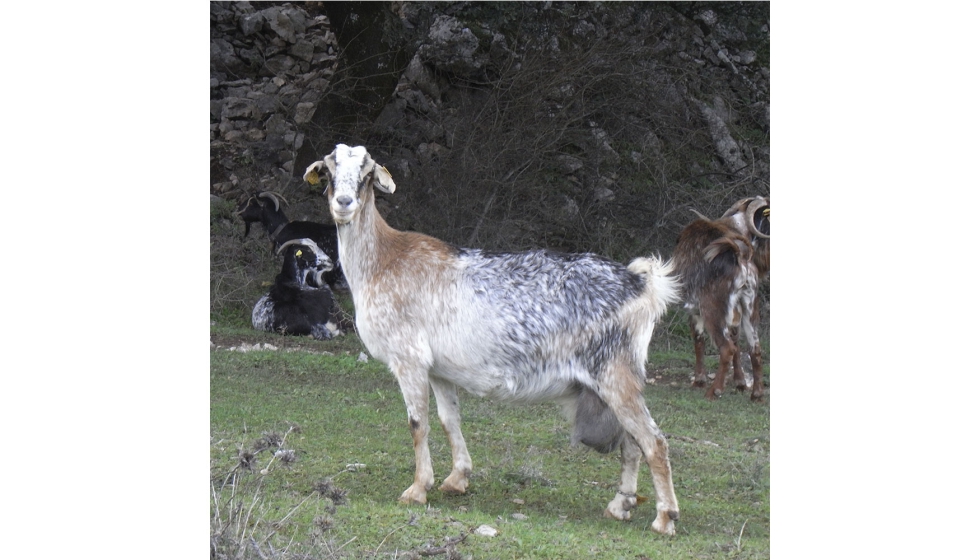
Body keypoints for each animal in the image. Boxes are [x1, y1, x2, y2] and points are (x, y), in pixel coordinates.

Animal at [302, 144, 682, 535]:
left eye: (366, 175)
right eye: (329, 172)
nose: (344, 203)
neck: (383, 261)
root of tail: (643, 285)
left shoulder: (408, 358)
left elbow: (418, 423)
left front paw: (417, 488)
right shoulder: (439, 369)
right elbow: (448, 419)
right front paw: (457, 479)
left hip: (615, 373)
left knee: (653, 441)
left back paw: (665, 517)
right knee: (632, 444)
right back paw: (621, 505)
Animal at [672, 196, 770, 401]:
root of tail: (740, 256)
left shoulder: (694, 309)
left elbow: (698, 340)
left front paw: (699, 380)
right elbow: (736, 339)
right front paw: (740, 383)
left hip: (713, 309)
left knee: (726, 348)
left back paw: (714, 390)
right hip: (750, 305)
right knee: (754, 347)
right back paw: (757, 394)